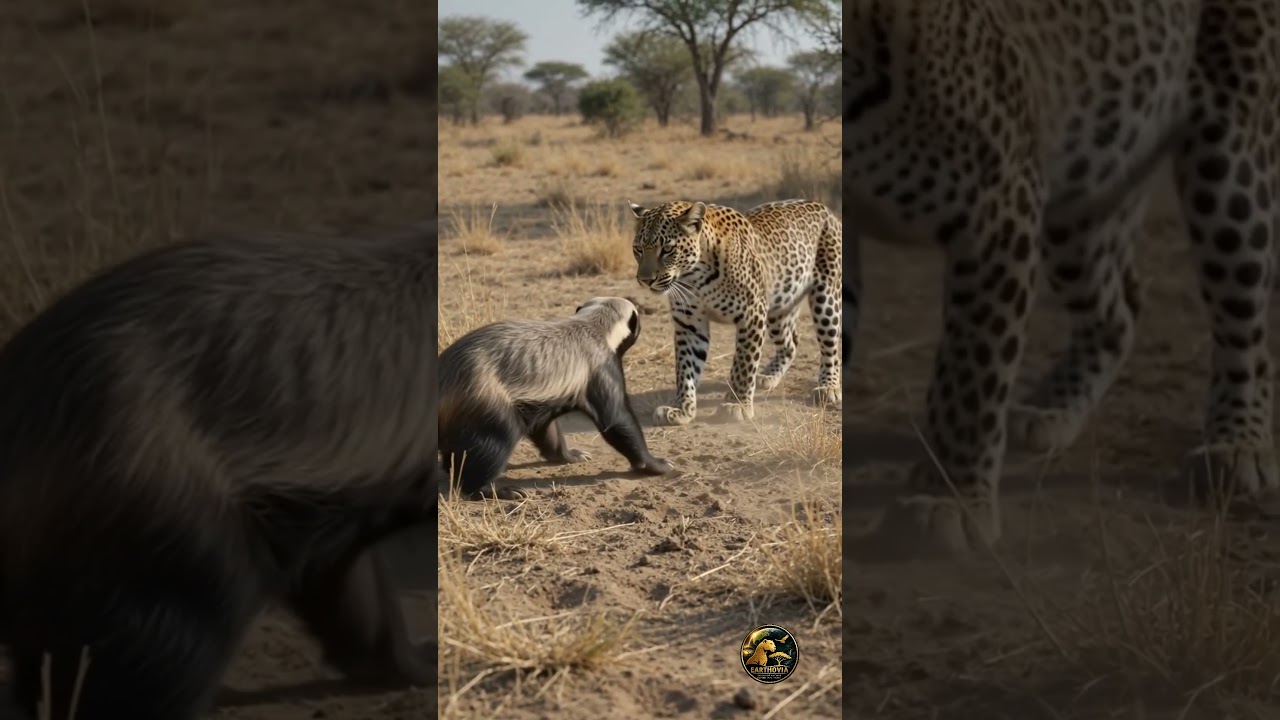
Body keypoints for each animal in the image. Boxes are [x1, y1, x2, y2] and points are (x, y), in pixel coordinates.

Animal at [629, 198, 843, 425]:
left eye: (668, 249)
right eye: (638, 249)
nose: (645, 280)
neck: (695, 276)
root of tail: (824, 209)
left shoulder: (752, 313)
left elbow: (744, 363)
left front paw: (737, 404)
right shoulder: (689, 323)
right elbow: (686, 368)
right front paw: (681, 409)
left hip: (826, 299)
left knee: (831, 347)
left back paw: (828, 387)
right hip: (779, 306)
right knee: (791, 342)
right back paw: (768, 377)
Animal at [844, 0, 1280, 559]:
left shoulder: (1000, 200)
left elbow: (972, 369)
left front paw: (949, 499)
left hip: (1230, 159)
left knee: (1245, 326)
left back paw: (1237, 444)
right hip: (1085, 196)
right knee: (1119, 311)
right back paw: (1050, 411)